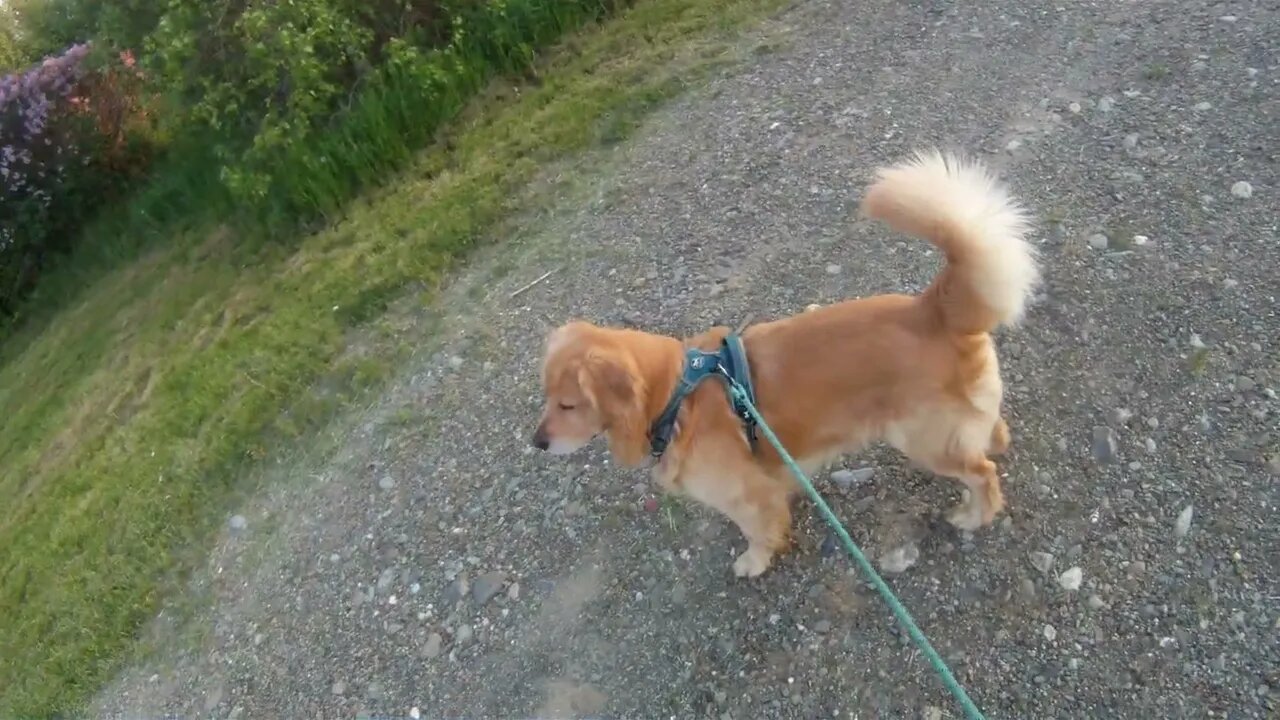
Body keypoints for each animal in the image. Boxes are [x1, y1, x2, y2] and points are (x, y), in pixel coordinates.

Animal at [529, 148, 1039, 573]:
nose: (537, 442)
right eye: (547, 398)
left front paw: (753, 562)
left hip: (923, 439)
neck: (677, 396)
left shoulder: (746, 494)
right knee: (992, 433)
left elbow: (757, 530)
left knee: (983, 473)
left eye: (569, 404)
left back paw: (975, 514)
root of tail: (931, 308)